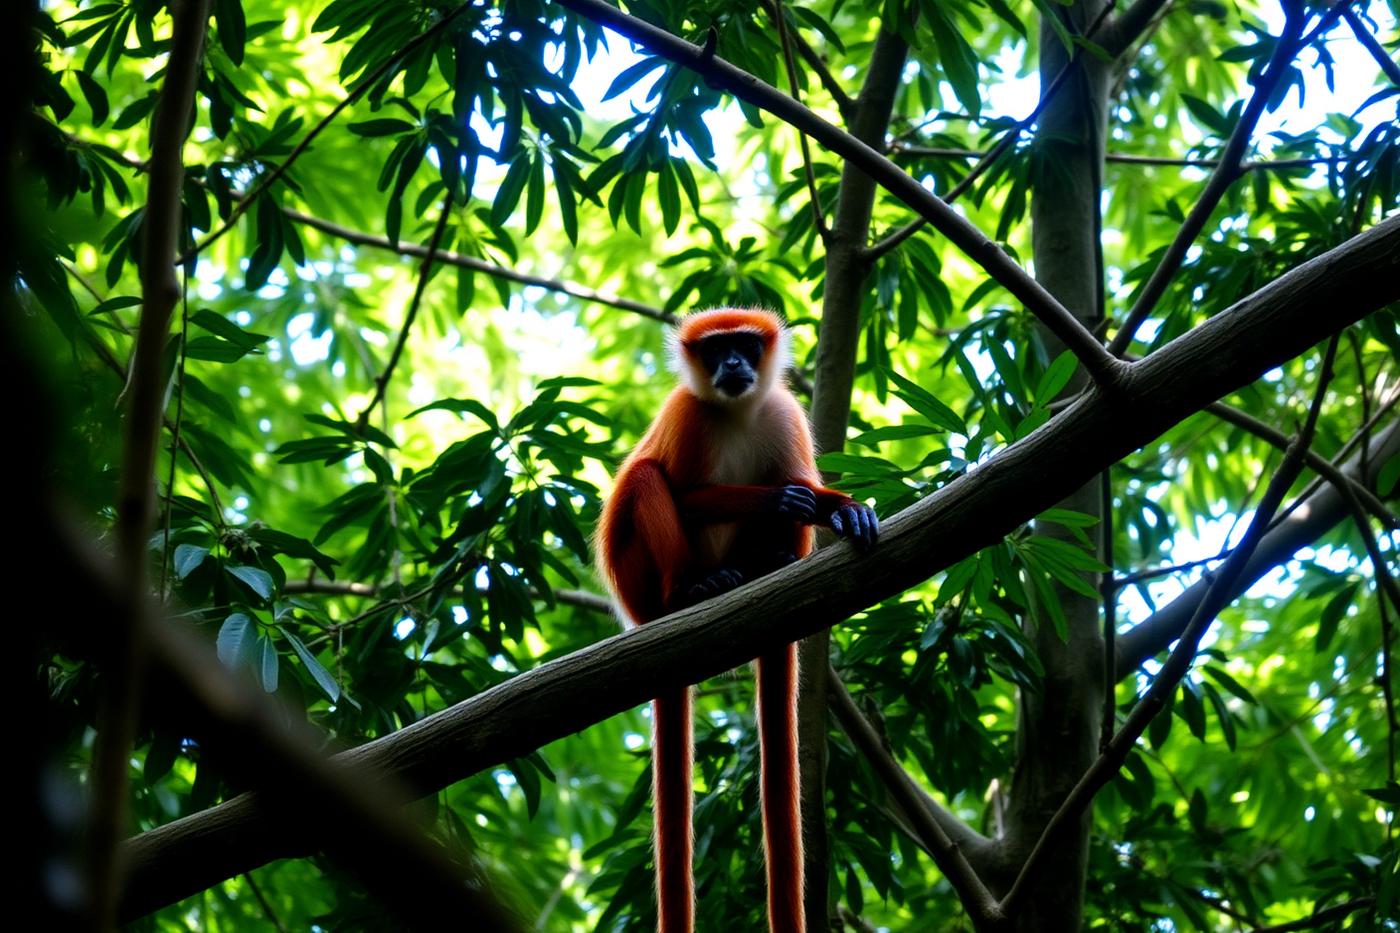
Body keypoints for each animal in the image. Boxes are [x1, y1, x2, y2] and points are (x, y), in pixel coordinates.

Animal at [595, 307, 879, 933]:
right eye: (716, 349)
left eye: (745, 346)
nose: (731, 364)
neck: (738, 413)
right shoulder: (688, 412)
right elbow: (688, 493)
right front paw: (780, 501)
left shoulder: (783, 413)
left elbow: (806, 485)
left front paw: (841, 509)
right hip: (639, 578)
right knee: (647, 478)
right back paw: (692, 591)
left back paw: (769, 563)